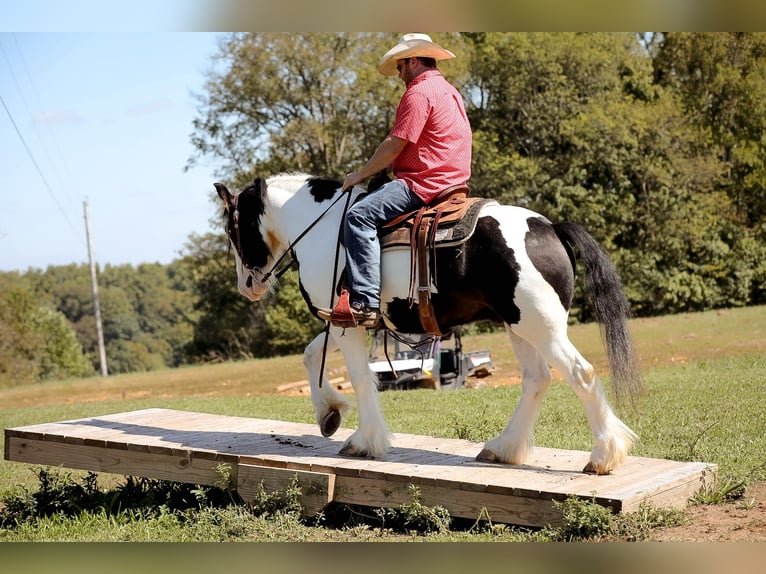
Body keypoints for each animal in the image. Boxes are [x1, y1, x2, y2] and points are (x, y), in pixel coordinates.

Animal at [215, 172, 643, 475]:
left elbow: (360, 378)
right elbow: (310, 356)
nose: (246, 285)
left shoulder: (348, 323)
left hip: (542, 328)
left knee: (581, 374)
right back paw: (504, 448)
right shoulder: (341, 321)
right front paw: (329, 414)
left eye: (232, 229)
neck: (323, 230)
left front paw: (365, 441)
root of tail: (550, 228)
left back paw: (603, 455)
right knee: (537, 380)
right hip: (520, 327)